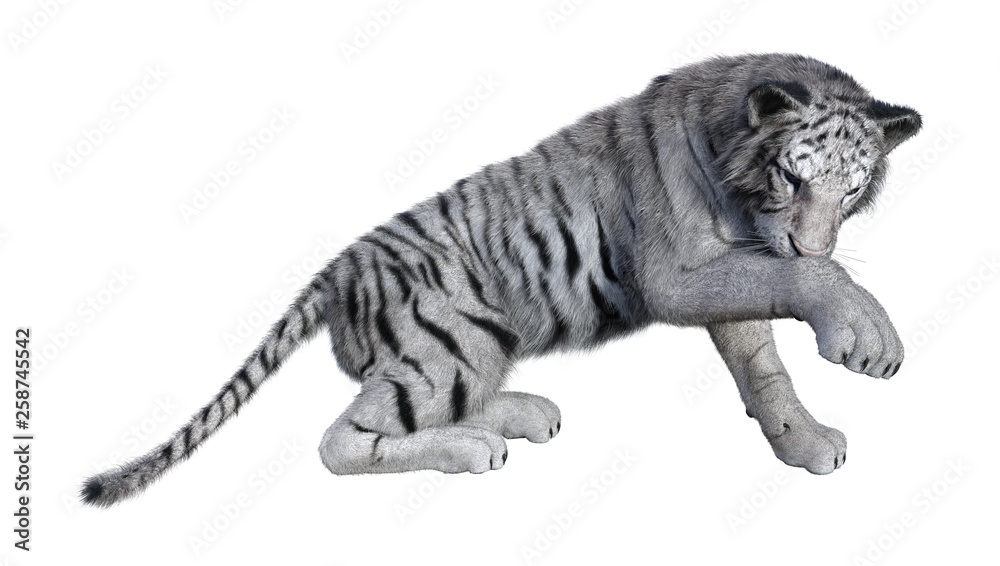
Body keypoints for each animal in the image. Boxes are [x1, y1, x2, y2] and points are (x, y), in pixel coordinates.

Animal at [81, 53, 922, 507]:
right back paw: (472, 447)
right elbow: (812, 286)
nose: (808, 242)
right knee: (341, 440)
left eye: (852, 190)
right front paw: (868, 336)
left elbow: (765, 370)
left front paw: (802, 441)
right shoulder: (678, 275)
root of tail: (335, 272)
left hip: (470, 346)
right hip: (447, 346)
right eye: (793, 175)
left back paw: (519, 413)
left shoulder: (730, 277)